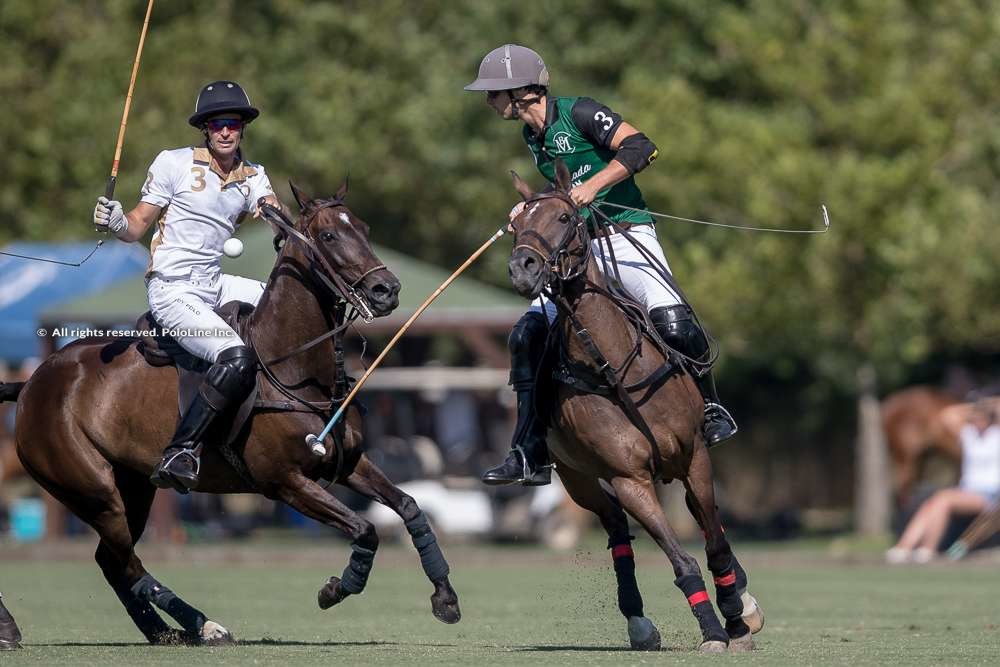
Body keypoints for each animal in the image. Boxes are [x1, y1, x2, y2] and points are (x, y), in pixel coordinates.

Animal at [0, 183, 460, 648]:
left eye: (364, 229)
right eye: (329, 235)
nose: (388, 290)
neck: (294, 369)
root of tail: (31, 383)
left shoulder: (347, 463)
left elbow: (410, 507)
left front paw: (445, 598)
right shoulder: (283, 482)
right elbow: (365, 529)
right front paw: (336, 588)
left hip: (133, 485)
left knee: (112, 562)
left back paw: (165, 632)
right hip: (90, 487)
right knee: (126, 561)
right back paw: (204, 625)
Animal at [508, 162, 764, 652]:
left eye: (565, 217)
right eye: (516, 225)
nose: (521, 269)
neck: (613, 367)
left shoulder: (695, 457)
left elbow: (715, 544)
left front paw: (736, 616)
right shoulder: (630, 479)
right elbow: (681, 560)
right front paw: (712, 629)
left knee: (709, 524)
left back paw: (741, 598)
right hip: (578, 478)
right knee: (616, 531)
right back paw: (639, 622)